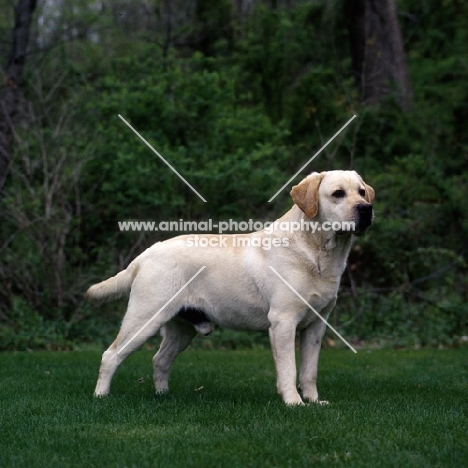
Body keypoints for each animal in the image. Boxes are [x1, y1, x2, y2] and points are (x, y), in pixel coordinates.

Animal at [87, 170, 372, 404]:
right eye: (337, 194)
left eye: (361, 192)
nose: (366, 209)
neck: (318, 252)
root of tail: (146, 253)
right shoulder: (283, 321)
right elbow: (289, 369)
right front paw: (294, 403)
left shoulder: (316, 325)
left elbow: (309, 371)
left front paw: (314, 401)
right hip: (144, 318)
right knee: (110, 355)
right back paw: (101, 397)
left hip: (181, 328)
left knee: (160, 359)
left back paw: (163, 395)